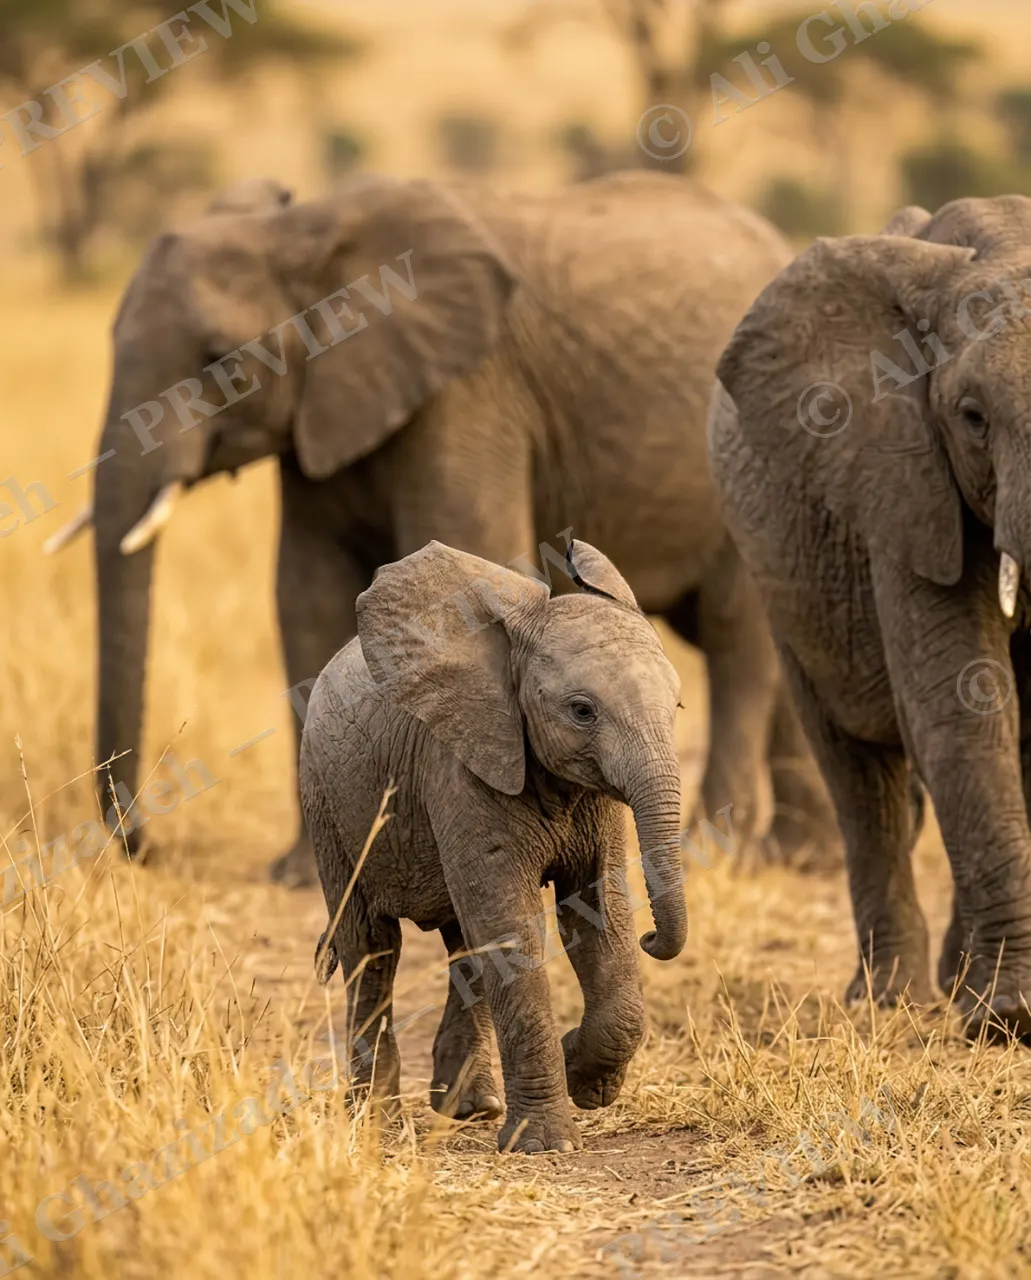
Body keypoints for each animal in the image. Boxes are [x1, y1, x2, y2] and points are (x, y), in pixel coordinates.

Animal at [47, 169, 841, 884]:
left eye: (225, 365)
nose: (146, 849)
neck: (307, 228)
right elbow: (304, 595)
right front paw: (303, 874)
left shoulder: (470, 390)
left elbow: (467, 556)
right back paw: (798, 856)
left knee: (739, 635)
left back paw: (721, 851)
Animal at [300, 537, 686, 1153]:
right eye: (582, 711)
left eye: (676, 709)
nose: (656, 938)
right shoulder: (460, 766)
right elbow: (511, 924)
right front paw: (546, 1143)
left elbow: (595, 916)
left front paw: (585, 1079)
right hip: (325, 800)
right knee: (371, 947)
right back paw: (375, 1118)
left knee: (462, 943)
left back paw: (470, 1108)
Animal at [708, 194, 1031, 1034]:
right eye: (971, 417)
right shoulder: (898, 476)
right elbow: (959, 704)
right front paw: (1006, 1017)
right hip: (782, 582)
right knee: (861, 774)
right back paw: (894, 999)